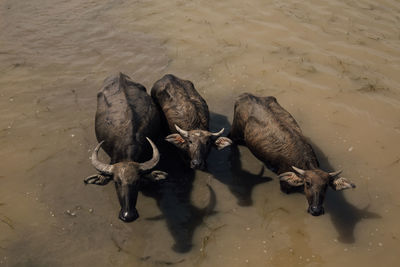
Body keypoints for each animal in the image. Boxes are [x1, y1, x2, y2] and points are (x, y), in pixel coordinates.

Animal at [228, 93, 356, 217]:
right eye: (307, 183)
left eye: (325, 186)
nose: (316, 210)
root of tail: (244, 96)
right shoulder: (284, 187)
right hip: (234, 134)